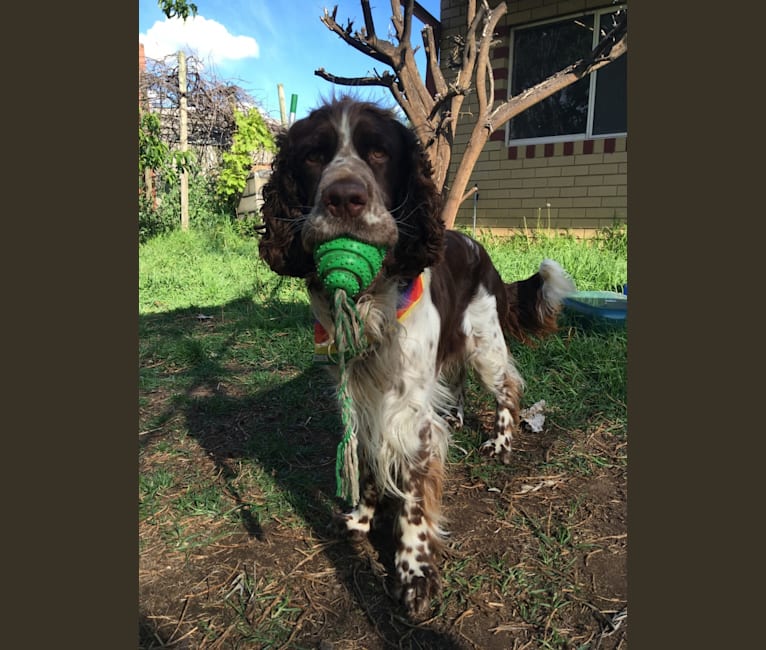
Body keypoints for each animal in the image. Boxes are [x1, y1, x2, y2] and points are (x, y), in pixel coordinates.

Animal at [260, 93, 576, 616]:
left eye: (379, 152)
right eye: (312, 156)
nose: (344, 197)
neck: (372, 302)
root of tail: (480, 249)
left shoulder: (409, 412)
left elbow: (412, 496)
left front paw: (413, 573)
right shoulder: (359, 394)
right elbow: (368, 458)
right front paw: (361, 518)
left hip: (484, 343)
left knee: (507, 387)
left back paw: (501, 442)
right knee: (457, 380)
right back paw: (461, 417)